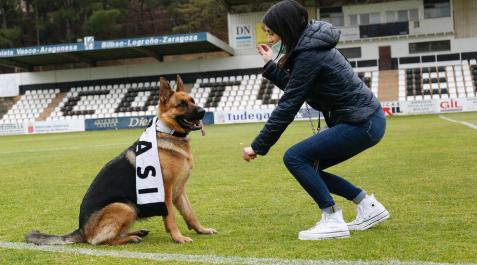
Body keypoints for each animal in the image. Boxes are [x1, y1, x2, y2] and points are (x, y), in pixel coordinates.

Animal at [27, 75, 217, 244]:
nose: (203, 111)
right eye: (181, 105)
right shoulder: (166, 193)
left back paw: (136, 232)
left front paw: (202, 229)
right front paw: (178, 238)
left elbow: (190, 213)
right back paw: (130, 238)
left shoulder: (179, 191)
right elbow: (170, 218)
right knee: (100, 241)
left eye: (193, 100)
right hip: (124, 206)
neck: (168, 133)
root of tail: (82, 230)